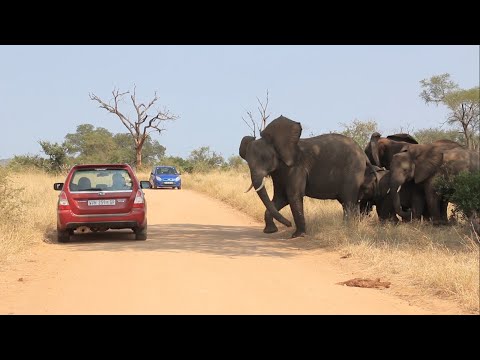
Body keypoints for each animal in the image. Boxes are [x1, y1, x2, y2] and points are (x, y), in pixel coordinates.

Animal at [240, 116, 372, 239]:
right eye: (247, 161)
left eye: (264, 158)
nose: (289, 224)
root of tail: (363, 154)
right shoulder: (279, 172)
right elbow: (281, 198)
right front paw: (270, 231)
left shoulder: (296, 167)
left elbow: (293, 196)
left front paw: (298, 235)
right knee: (350, 203)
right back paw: (352, 228)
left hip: (353, 171)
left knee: (348, 202)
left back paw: (346, 229)